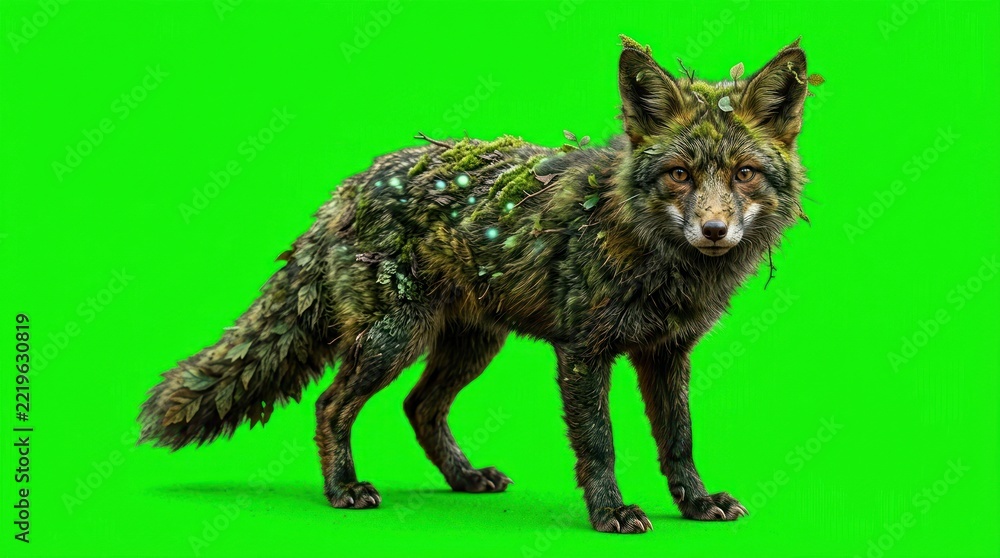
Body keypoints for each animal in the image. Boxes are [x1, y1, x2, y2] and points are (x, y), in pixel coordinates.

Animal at [139, 35, 818, 534]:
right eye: (679, 174)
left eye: (744, 174)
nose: (714, 230)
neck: (656, 259)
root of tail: (350, 186)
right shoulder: (583, 351)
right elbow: (599, 443)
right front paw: (610, 512)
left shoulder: (667, 352)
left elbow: (679, 440)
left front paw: (696, 506)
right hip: (393, 340)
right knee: (331, 404)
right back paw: (343, 490)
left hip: (471, 346)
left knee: (419, 407)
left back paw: (464, 480)